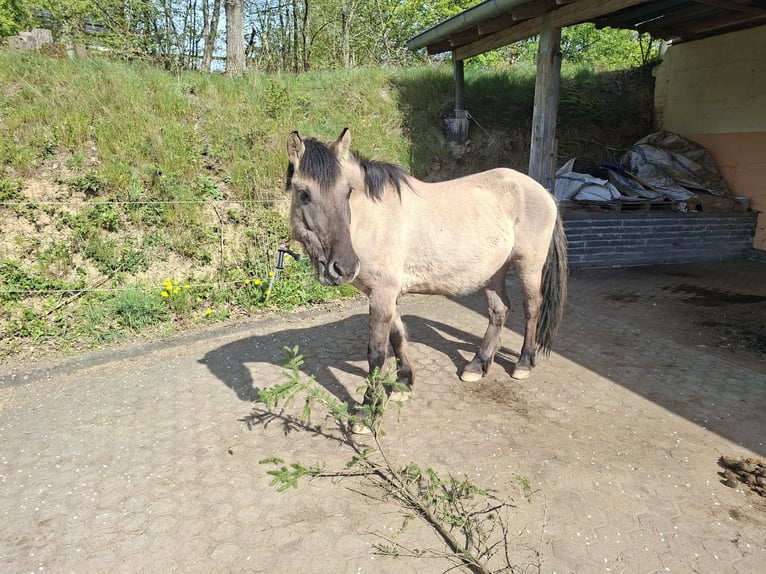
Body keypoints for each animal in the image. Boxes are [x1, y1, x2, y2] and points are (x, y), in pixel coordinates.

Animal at [286, 128, 568, 407]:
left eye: (347, 192)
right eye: (304, 194)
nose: (343, 267)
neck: (375, 219)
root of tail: (544, 192)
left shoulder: (382, 294)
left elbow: (376, 352)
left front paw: (368, 407)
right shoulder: (386, 294)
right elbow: (398, 336)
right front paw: (403, 382)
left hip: (528, 266)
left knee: (532, 307)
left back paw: (523, 363)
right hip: (494, 271)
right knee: (499, 311)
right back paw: (478, 365)